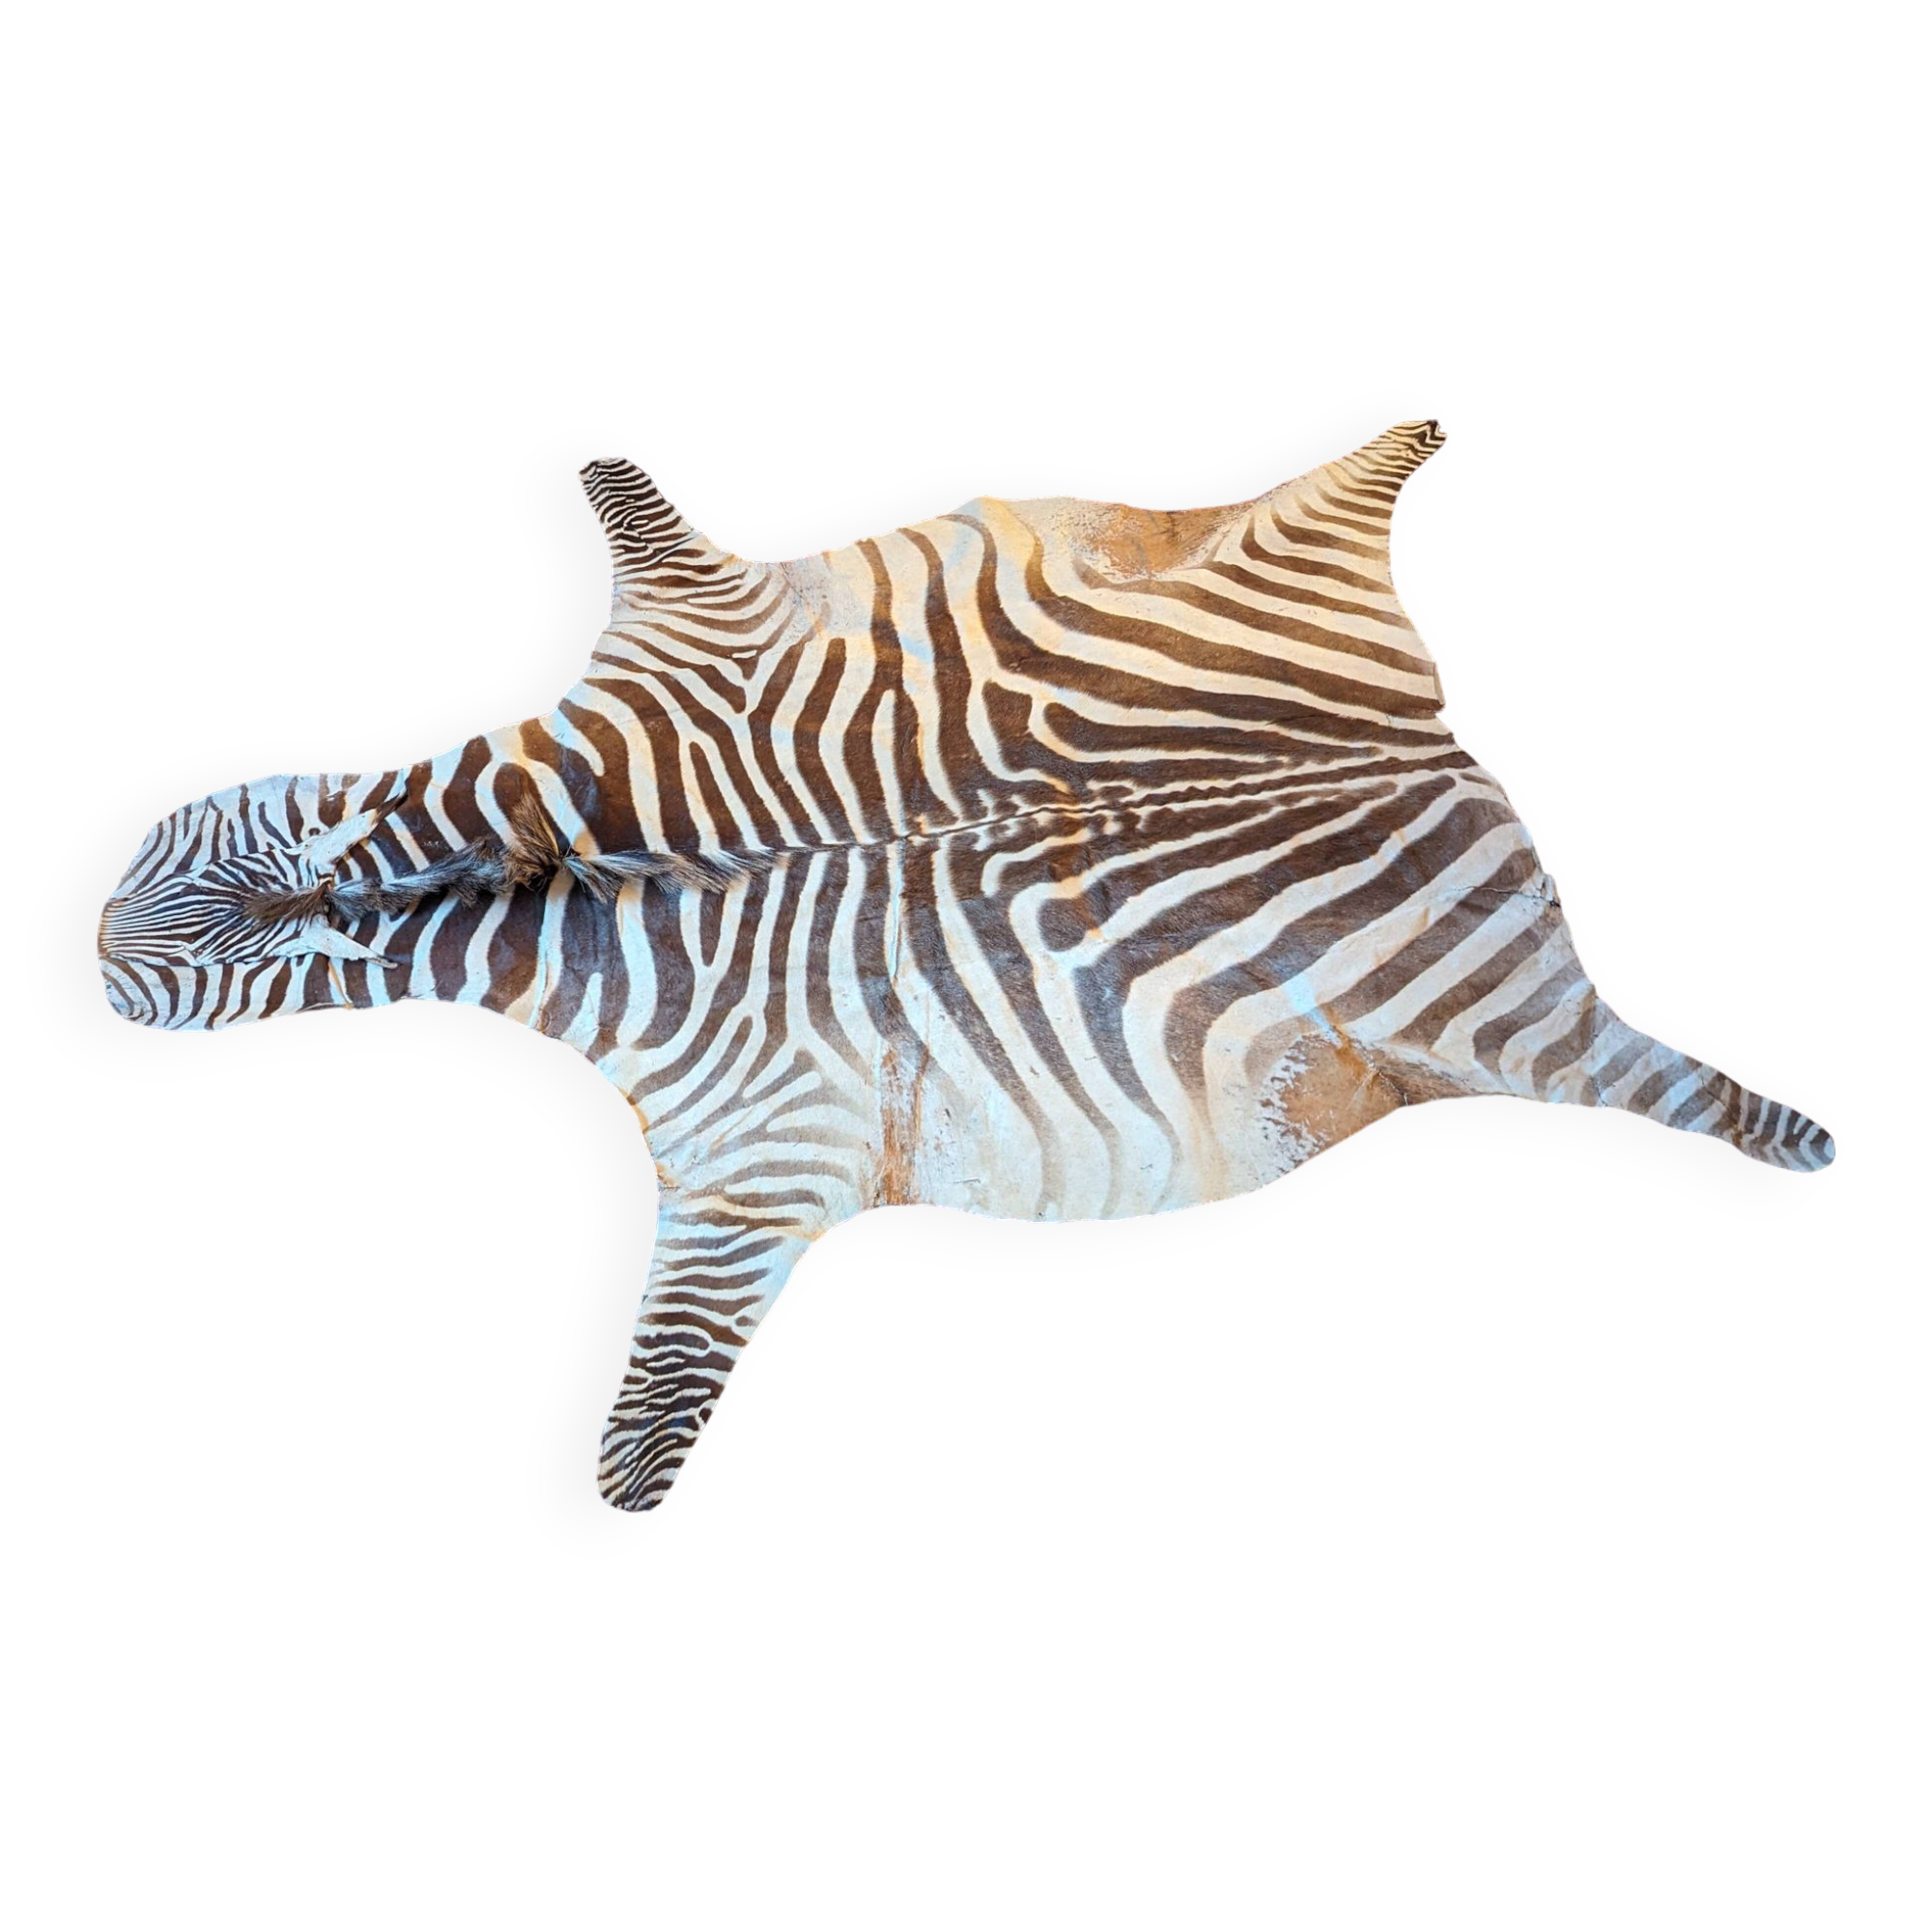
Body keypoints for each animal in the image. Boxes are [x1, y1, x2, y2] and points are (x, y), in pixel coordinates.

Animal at [94, 418, 1837, 1514]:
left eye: (191, 966)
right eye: (179, 895)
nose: (104, 945)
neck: (544, 884)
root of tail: (1444, 753)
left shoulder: (751, 1162)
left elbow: (672, 1363)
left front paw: (629, 1478)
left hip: (1501, 1015)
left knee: (1640, 1077)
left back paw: (1784, 1134)